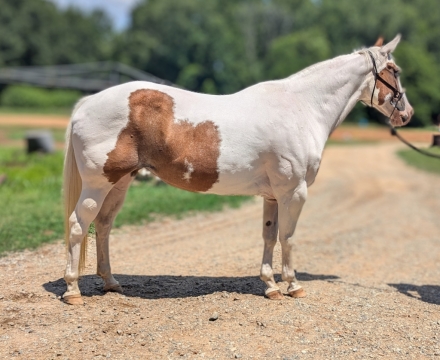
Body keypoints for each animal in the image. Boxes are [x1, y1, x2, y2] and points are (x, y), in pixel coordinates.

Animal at [62, 35, 412, 304]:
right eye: (394, 71)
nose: (407, 114)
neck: (302, 108)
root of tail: (86, 104)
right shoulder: (293, 192)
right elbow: (288, 236)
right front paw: (292, 285)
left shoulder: (272, 196)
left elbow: (269, 236)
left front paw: (270, 285)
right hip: (97, 184)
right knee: (79, 225)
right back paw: (72, 289)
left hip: (119, 184)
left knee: (103, 226)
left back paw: (110, 283)